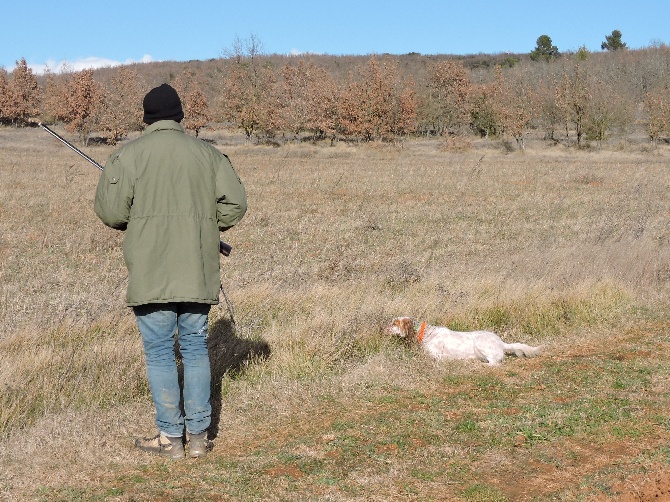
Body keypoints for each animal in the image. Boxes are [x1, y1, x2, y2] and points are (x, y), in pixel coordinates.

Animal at [388, 316, 544, 366]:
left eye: (394, 323)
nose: (383, 328)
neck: (426, 333)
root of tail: (502, 343)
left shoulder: (436, 356)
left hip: (480, 343)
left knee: (494, 363)